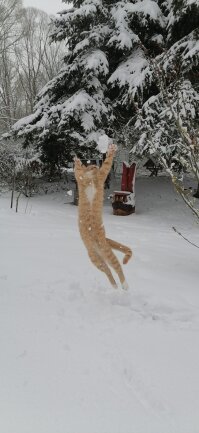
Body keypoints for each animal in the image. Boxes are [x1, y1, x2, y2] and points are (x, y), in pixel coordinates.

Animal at [74, 143, 132, 288]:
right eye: (91, 165)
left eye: (95, 166)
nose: (94, 167)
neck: (90, 179)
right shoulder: (80, 178)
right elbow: (78, 170)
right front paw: (77, 161)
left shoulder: (101, 175)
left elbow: (107, 163)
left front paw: (111, 150)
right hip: (95, 259)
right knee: (107, 270)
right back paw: (114, 285)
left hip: (106, 253)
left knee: (117, 267)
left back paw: (124, 285)